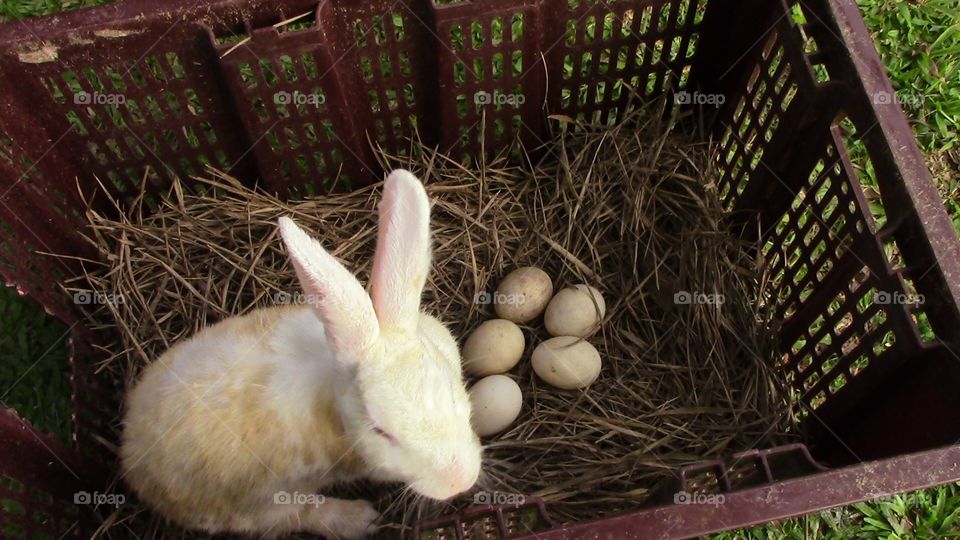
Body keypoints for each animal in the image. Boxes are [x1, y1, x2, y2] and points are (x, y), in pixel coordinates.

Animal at [120, 170, 482, 539]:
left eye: (453, 394)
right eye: (381, 432)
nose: (461, 481)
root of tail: (131, 453)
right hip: (254, 506)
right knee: (299, 514)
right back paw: (359, 519)